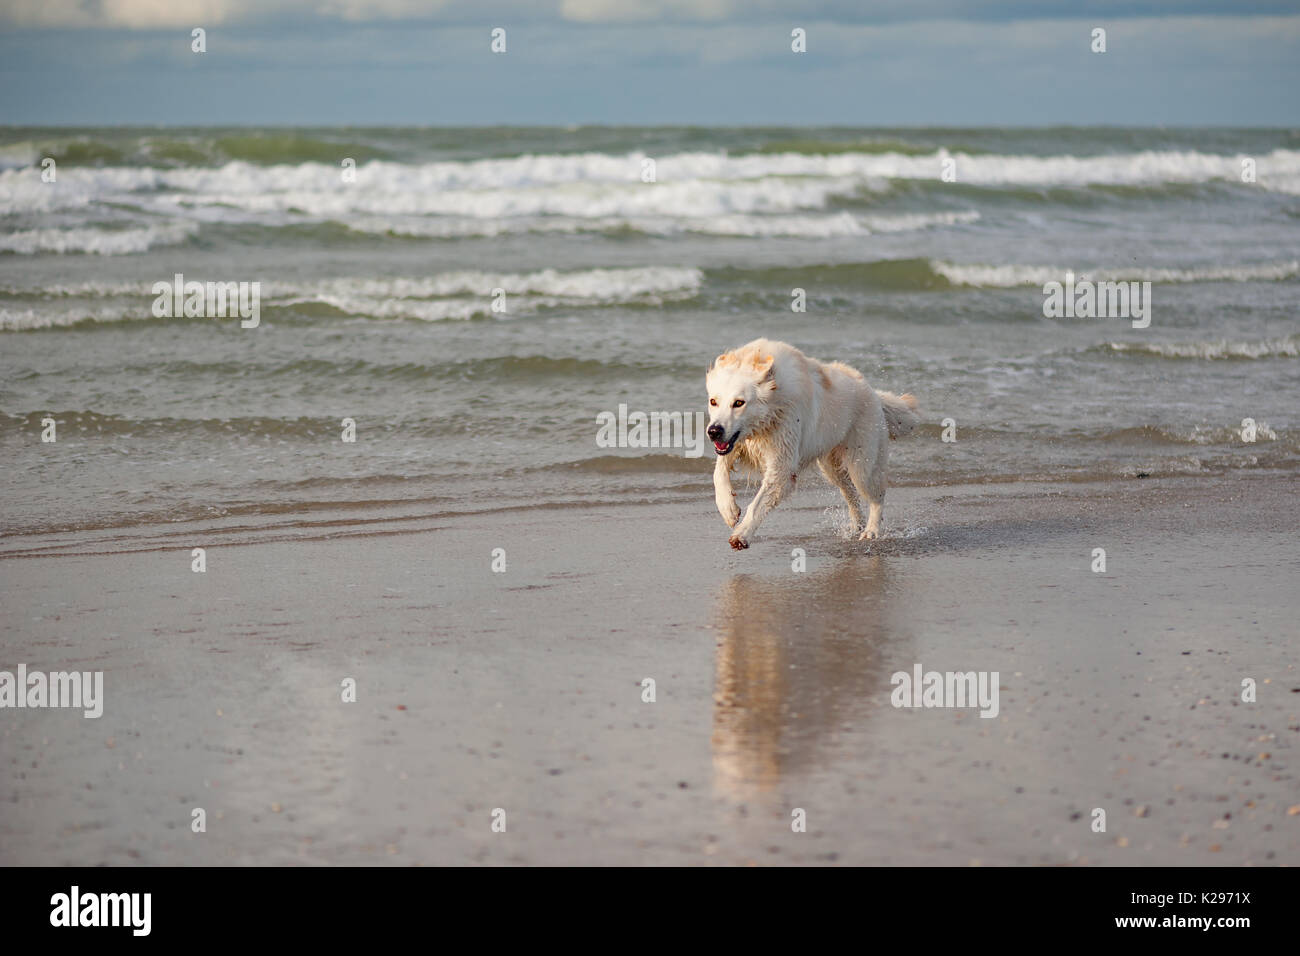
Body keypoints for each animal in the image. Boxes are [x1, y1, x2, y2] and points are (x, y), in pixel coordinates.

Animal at [707, 338, 920, 548]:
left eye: (739, 403)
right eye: (713, 401)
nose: (713, 432)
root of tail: (874, 393)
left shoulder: (782, 466)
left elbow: (757, 504)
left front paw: (741, 535)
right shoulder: (736, 444)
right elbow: (718, 472)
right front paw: (728, 509)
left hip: (862, 466)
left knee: (876, 497)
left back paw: (871, 531)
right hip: (832, 468)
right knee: (851, 494)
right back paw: (856, 526)